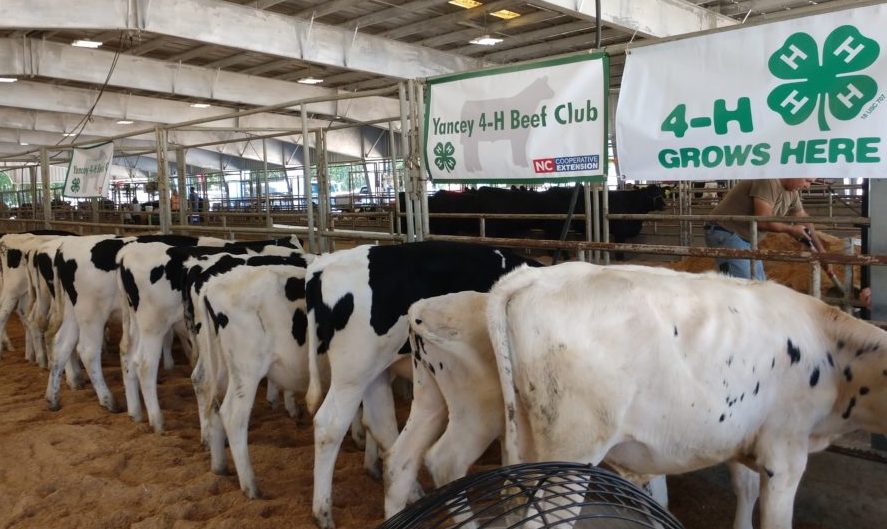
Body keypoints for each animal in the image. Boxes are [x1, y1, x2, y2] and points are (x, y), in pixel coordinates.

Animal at [306, 240, 540, 528]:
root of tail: (325, 264)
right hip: (353, 371)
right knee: (330, 426)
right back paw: (323, 512)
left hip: (376, 371)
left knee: (381, 424)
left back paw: (410, 490)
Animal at [486, 262, 887, 528]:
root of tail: (535, 276)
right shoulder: (785, 452)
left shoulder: (741, 436)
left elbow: (745, 489)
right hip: (571, 453)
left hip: (522, 445)